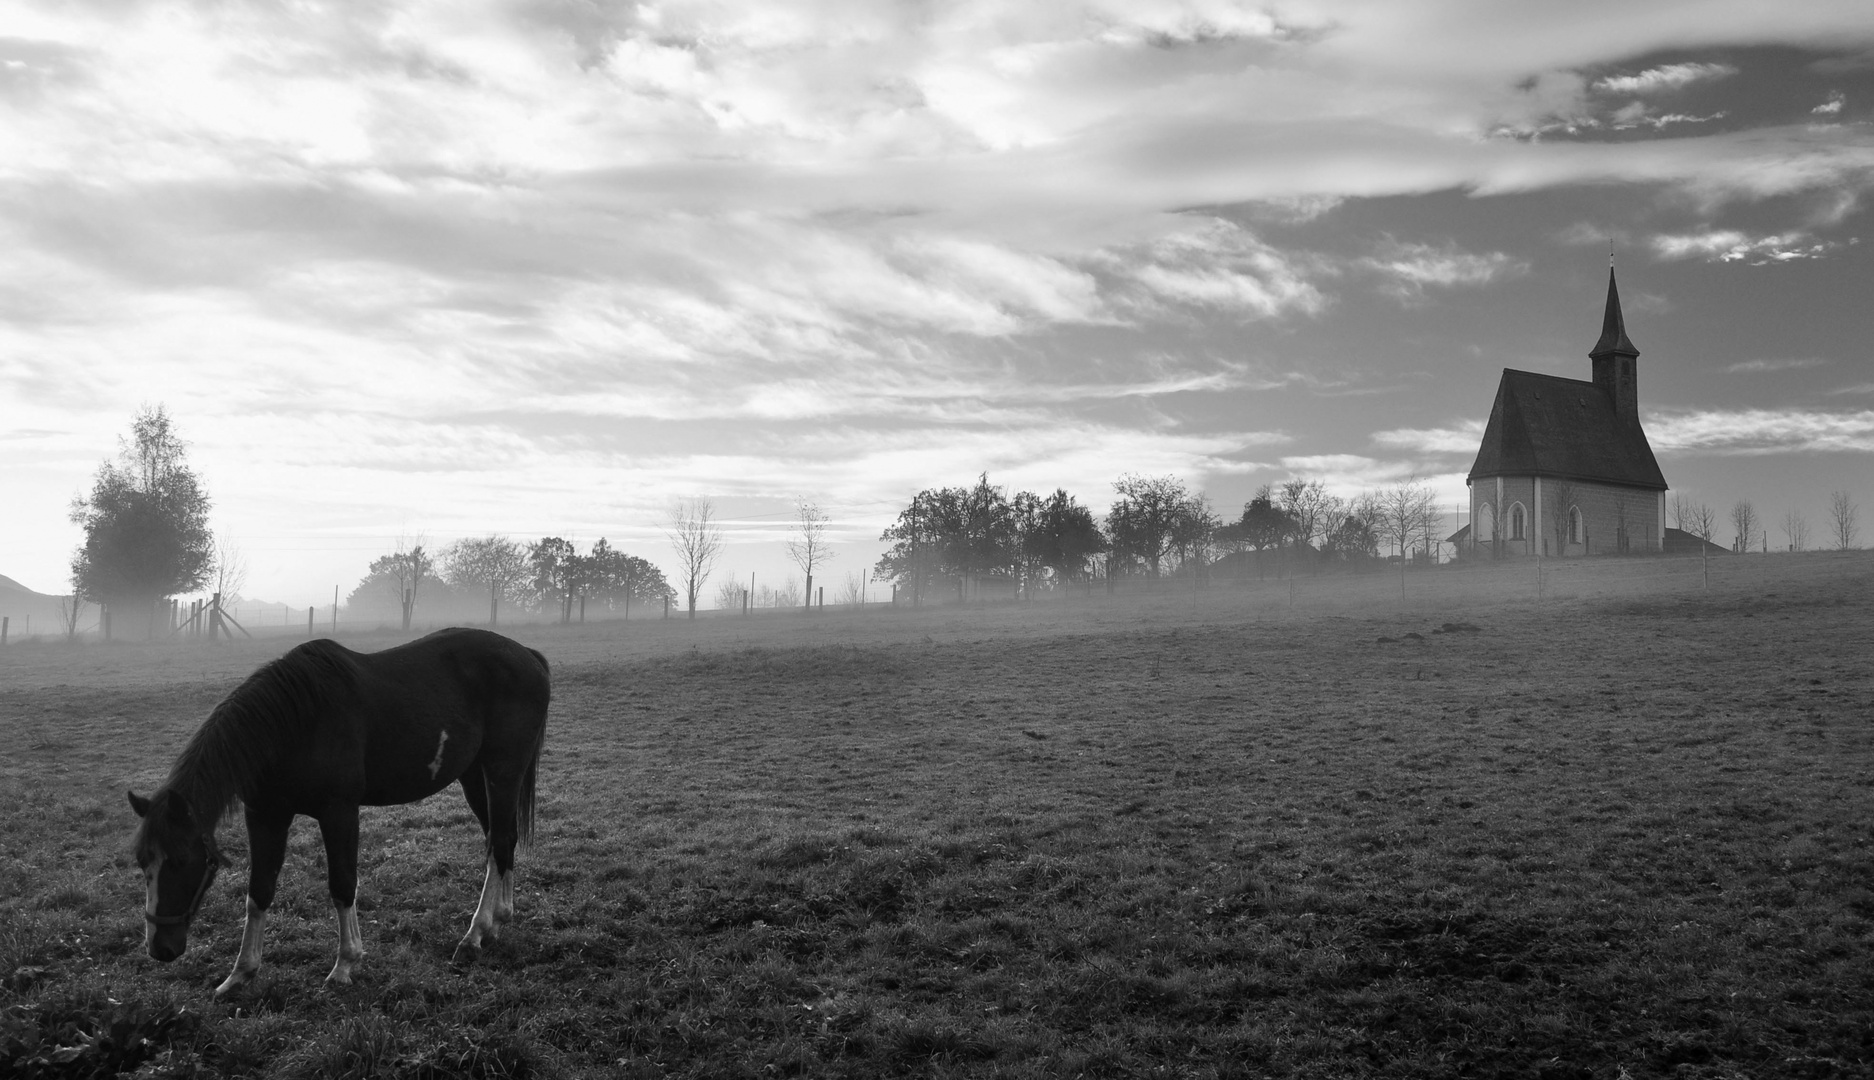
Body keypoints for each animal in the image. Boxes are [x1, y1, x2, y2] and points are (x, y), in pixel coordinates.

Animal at [126, 630, 543, 997]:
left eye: (181, 861)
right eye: (142, 862)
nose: (160, 948)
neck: (293, 724)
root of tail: (528, 655)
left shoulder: (339, 812)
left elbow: (342, 885)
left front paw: (345, 964)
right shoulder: (265, 816)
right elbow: (258, 891)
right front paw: (240, 973)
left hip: (502, 772)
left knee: (499, 842)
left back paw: (475, 934)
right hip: (474, 776)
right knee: (501, 840)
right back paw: (498, 919)